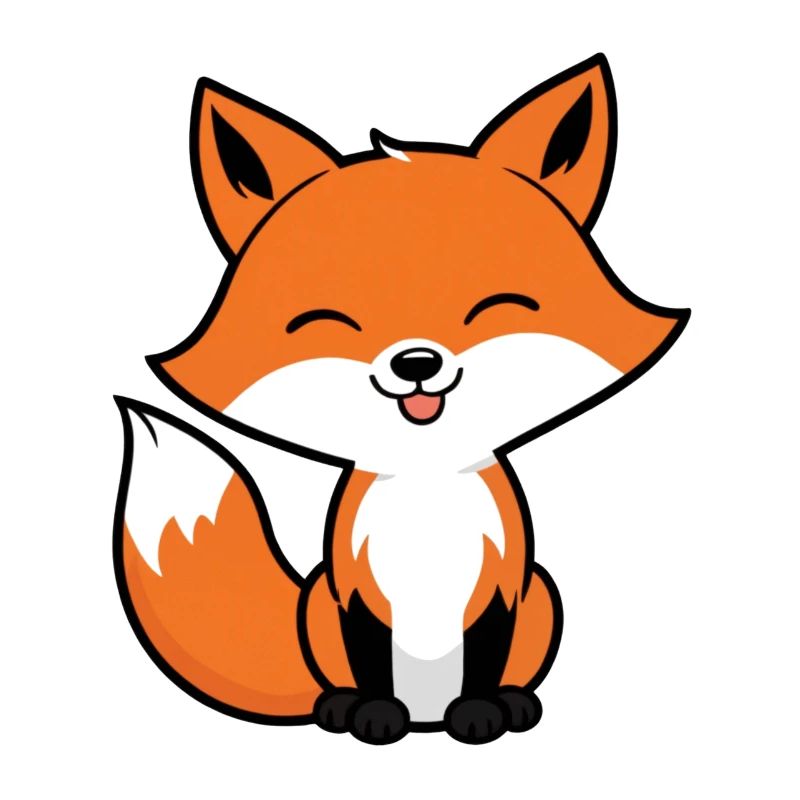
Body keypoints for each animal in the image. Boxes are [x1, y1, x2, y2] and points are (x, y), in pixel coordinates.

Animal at [114, 53, 689, 745]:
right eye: (331, 322)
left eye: (494, 308)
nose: (417, 362)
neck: (425, 483)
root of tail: (426, 720)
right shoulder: (355, 590)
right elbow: (370, 656)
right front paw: (373, 714)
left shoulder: (502, 585)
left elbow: (485, 653)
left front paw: (481, 711)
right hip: (318, 600)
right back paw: (342, 707)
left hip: (543, 594)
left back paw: (508, 704)